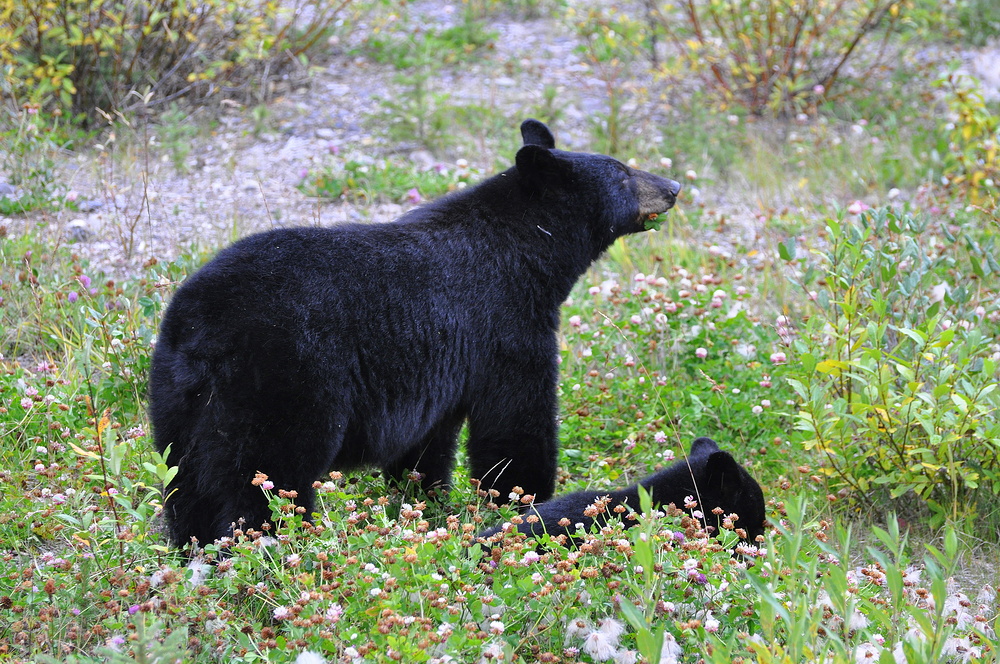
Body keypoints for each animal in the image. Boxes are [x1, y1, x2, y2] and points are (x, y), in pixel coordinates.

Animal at [148, 119, 680, 544]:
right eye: (622, 172)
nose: (673, 185)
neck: (526, 251)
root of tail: (201, 328)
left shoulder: (436, 372)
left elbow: (428, 443)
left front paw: (426, 501)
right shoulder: (503, 323)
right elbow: (515, 420)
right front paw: (525, 498)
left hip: (181, 399)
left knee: (188, 481)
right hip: (281, 381)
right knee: (263, 476)